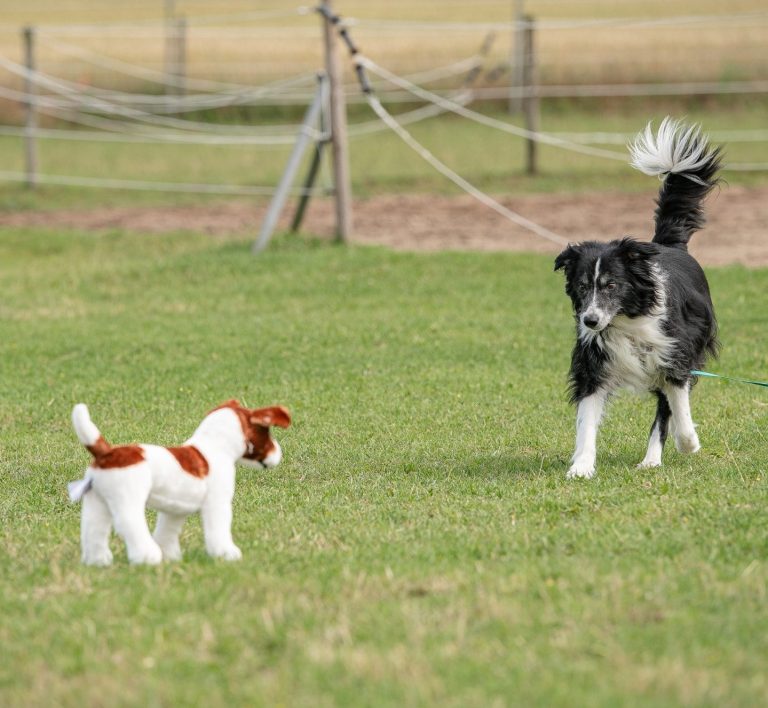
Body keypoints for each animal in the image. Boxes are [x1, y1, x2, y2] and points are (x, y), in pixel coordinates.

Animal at [556, 119, 724, 478]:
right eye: (582, 287)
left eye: (611, 285)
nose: (590, 320)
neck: (626, 320)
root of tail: (669, 244)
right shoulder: (594, 360)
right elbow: (586, 418)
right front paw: (582, 466)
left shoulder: (675, 350)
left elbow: (678, 401)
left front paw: (688, 441)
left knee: (667, 406)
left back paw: (653, 458)